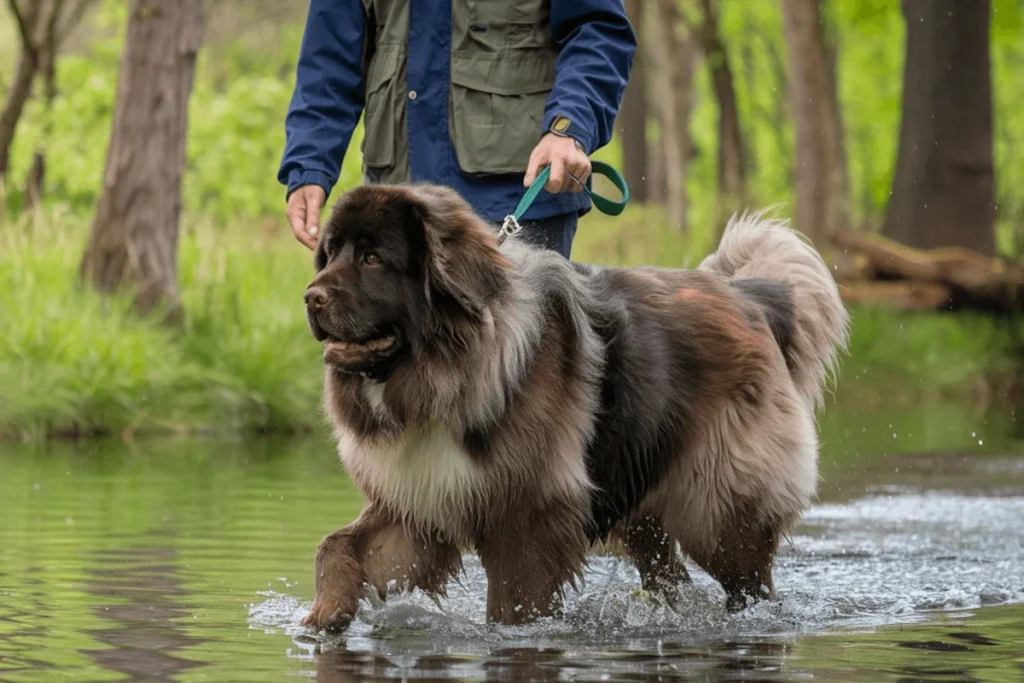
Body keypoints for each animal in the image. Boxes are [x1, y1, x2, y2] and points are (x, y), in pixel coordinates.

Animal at [301, 184, 847, 634]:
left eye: (373, 258)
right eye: (329, 254)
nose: (310, 297)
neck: (448, 367)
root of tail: (750, 296)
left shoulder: (528, 514)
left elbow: (513, 605)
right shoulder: (420, 501)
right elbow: (334, 544)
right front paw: (327, 613)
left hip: (720, 513)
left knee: (750, 583)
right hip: (644, 512)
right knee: (670, 576)